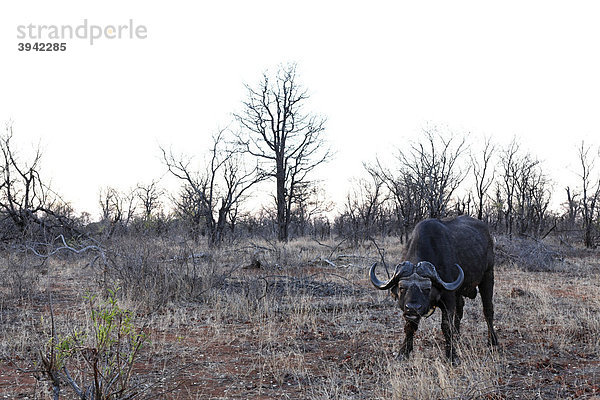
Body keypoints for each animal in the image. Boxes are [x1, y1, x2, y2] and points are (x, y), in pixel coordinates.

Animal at [370, 216, 496, 362]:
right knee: (460, 309)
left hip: (488, 276)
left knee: (488, 310)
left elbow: (446, 327)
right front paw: (404, 352)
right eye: (402, 288)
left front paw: (451, 356)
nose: (413, 307)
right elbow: (410, 326)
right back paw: (457, 337)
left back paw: (492, 341)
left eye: (427, 288)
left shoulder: (448, 300)